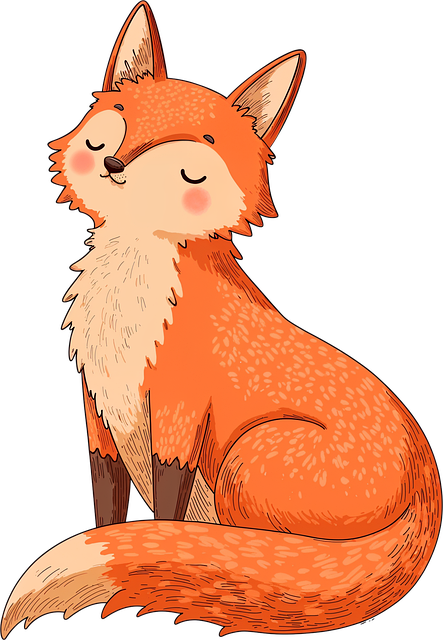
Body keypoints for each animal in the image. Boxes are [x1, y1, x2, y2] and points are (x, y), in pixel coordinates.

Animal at [2, 2, 442, 637]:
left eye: (196, 149)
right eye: (121, 121)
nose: (111, 160)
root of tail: (428, 482)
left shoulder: (180, 412)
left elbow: (163, 516)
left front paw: (160, 554)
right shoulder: (100, 409)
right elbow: (108, 507)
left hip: (246, 457)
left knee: (270, 556)